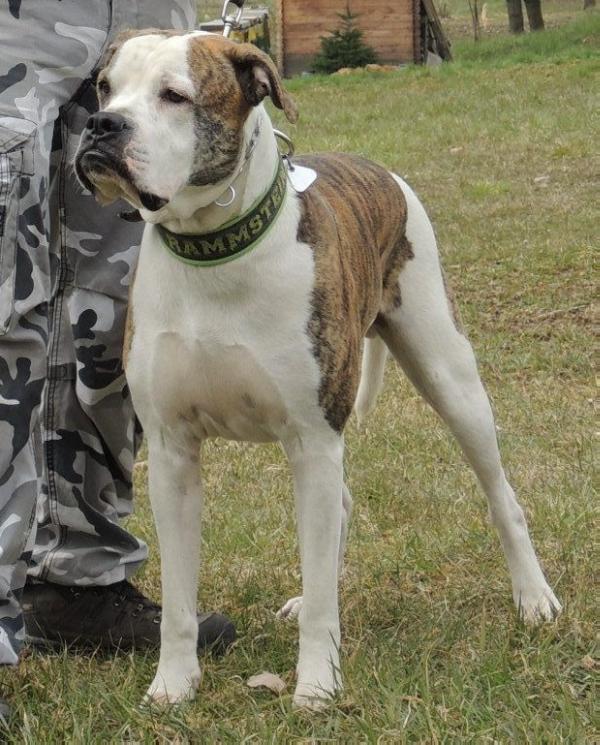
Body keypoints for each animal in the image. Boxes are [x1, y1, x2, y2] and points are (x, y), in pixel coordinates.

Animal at [76, 32, 564, 708]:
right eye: (104, 88)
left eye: (174, 95)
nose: (102, 126)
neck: (213, 249)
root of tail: (376, 168)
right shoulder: (173, 456)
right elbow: (177, 599)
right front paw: (173, 686)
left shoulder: (312, 438)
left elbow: (322, 597)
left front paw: (316, 687)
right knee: (340, 512)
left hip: (451, 382)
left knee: (500, 495)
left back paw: (533, 597)